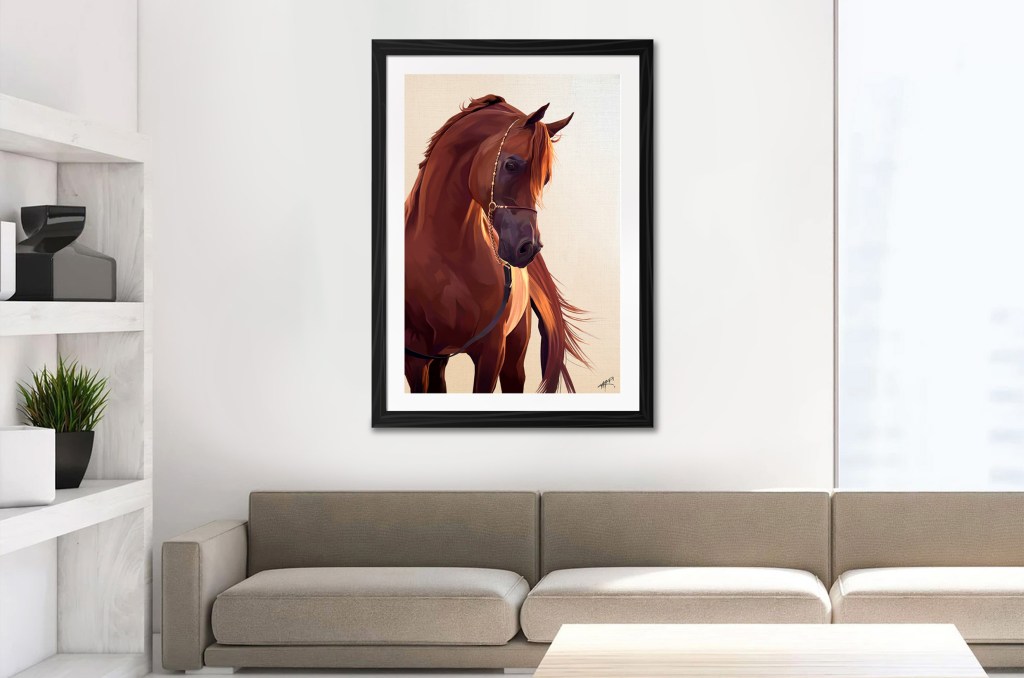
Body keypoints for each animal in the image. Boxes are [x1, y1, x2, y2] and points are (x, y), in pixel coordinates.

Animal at [404, 94, 589, 394]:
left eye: (545, 178)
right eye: (511, 165)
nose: (528, 248)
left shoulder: (492, 352)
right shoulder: (414, 359)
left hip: (514, 354)